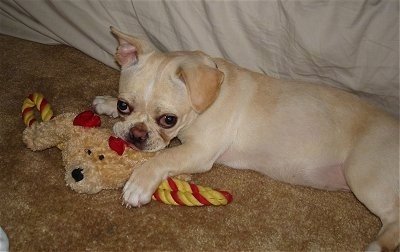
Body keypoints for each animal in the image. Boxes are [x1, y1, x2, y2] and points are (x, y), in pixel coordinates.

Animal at [93, 27, 396, 250]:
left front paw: (138, 184)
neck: (209, 97)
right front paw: (105, 104)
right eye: (123, 105)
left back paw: (378, 246)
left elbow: (164, 156)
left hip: (363, 175)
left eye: (169, 120)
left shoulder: (199, 151)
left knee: (394, 218)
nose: (136, 135)